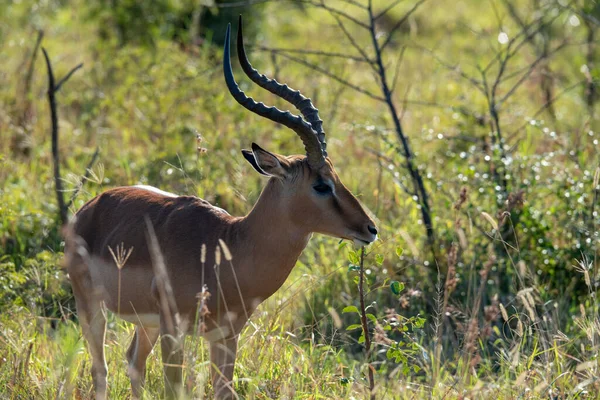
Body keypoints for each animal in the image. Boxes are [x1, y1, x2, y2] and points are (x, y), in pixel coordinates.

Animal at [64, 18, 376, 400]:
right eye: (321, 185)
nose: (370, 229)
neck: (229, 247)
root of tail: (90, 205)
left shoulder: (226, 336)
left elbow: (223, 391)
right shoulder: (175, 331)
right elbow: (174, 390)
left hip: (144, 323)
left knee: (133, 362)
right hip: (91, 308)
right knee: (102, 370)